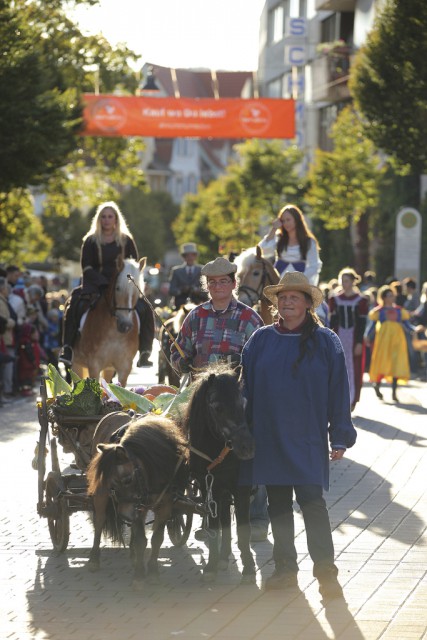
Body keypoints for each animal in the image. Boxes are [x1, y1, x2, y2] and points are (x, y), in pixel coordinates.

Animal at [72, 255, 146, 384]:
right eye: (118, 288)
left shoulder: (124, 367)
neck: (114, 332)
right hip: (76, 365)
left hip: (108, 369)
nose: (125, 325)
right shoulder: (94, 365)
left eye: (137, 290)